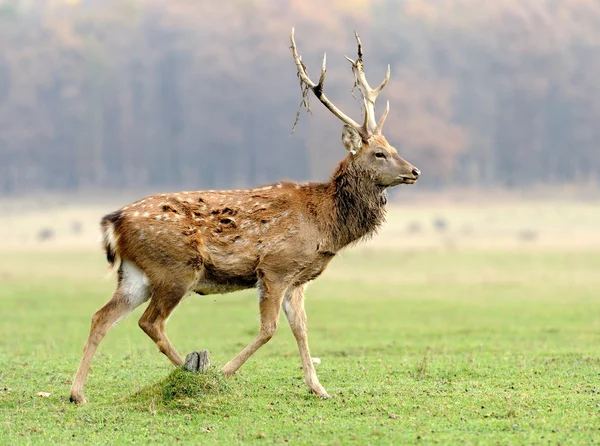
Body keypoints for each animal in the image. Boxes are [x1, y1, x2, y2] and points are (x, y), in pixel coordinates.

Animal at [68, 27, 420, 404]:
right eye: (380, 153)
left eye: (394, 147)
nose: (414, 171)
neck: (324, 225)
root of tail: (114, 221)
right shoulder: (275, 267)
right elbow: (269, 329)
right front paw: (225, 372)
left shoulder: (297, 279)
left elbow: (301, 329)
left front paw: (319, 388)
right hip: (176, 268)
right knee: (150, 322)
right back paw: (194, 373)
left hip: (136, 273)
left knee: (102, 316)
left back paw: (78, 393)